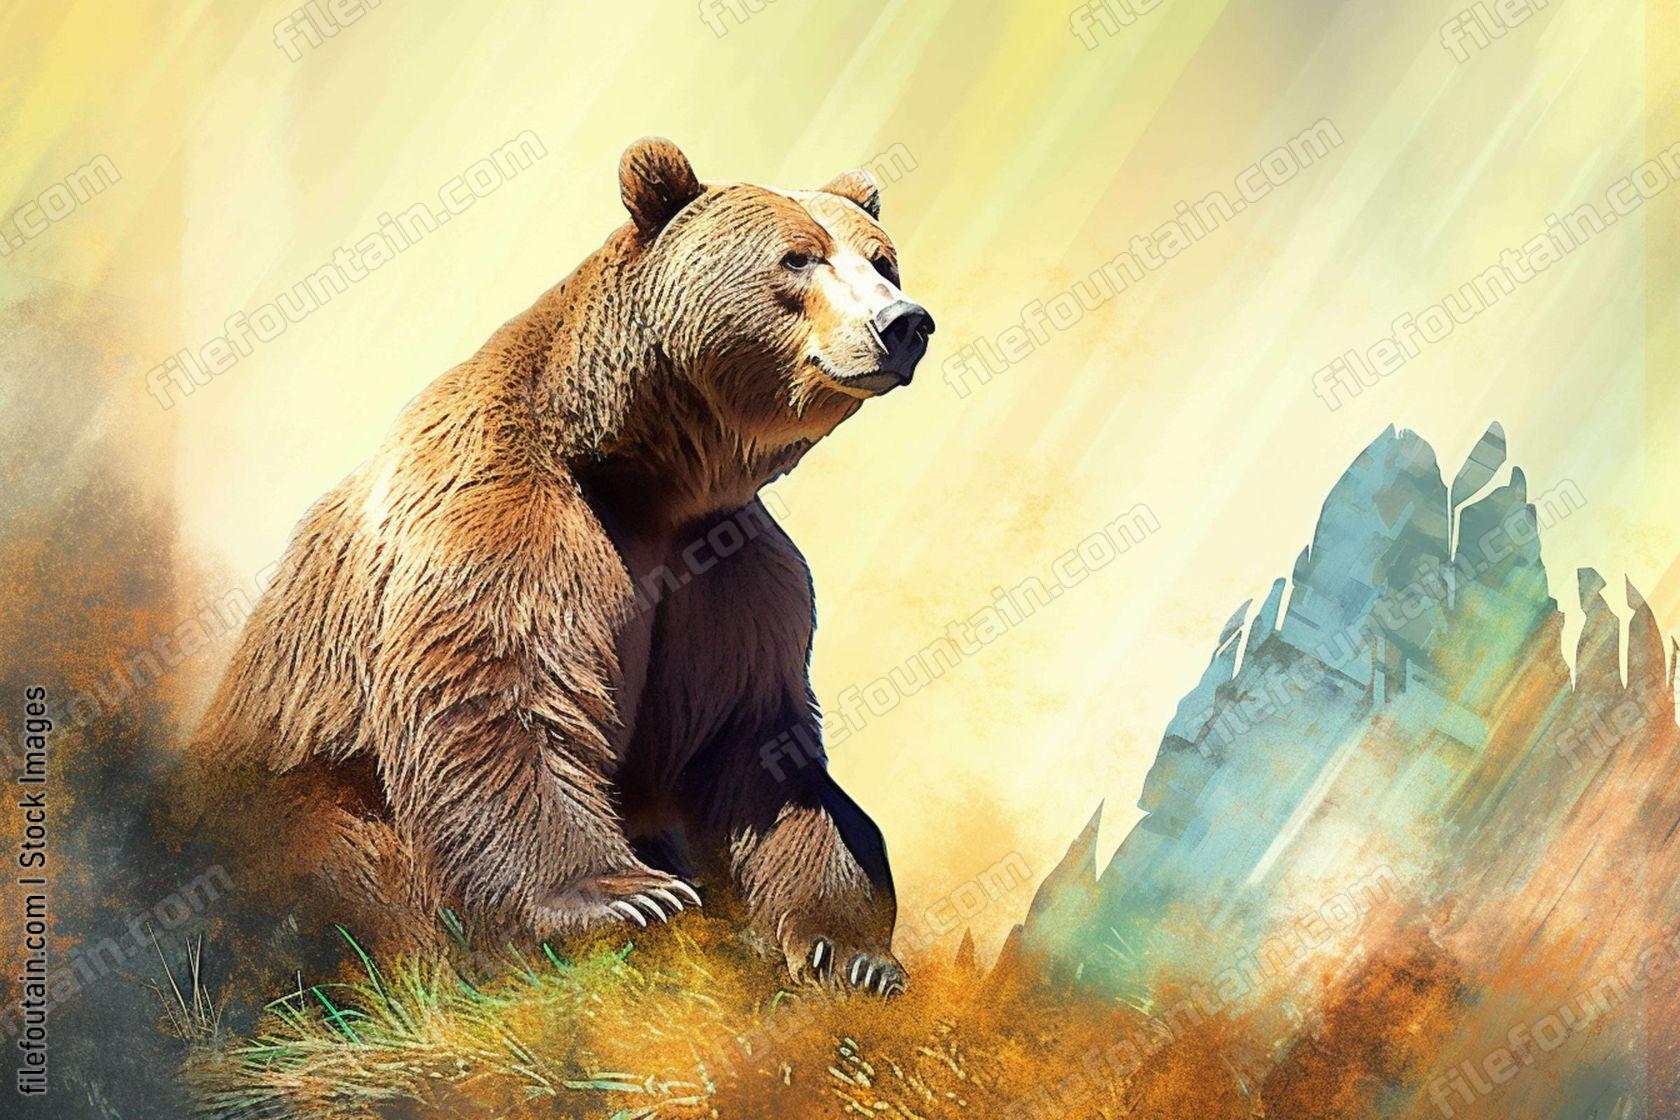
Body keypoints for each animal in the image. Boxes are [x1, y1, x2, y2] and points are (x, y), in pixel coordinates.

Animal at [191, 137, 935, 996]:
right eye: (798, 257)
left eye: (883, 260)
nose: (903, 323)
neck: (645, 475)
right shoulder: (507, 514)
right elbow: (503, 691)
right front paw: (625, 896)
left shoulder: (729, 572)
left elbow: (751, 739)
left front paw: (847, 950)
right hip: (288, 786)